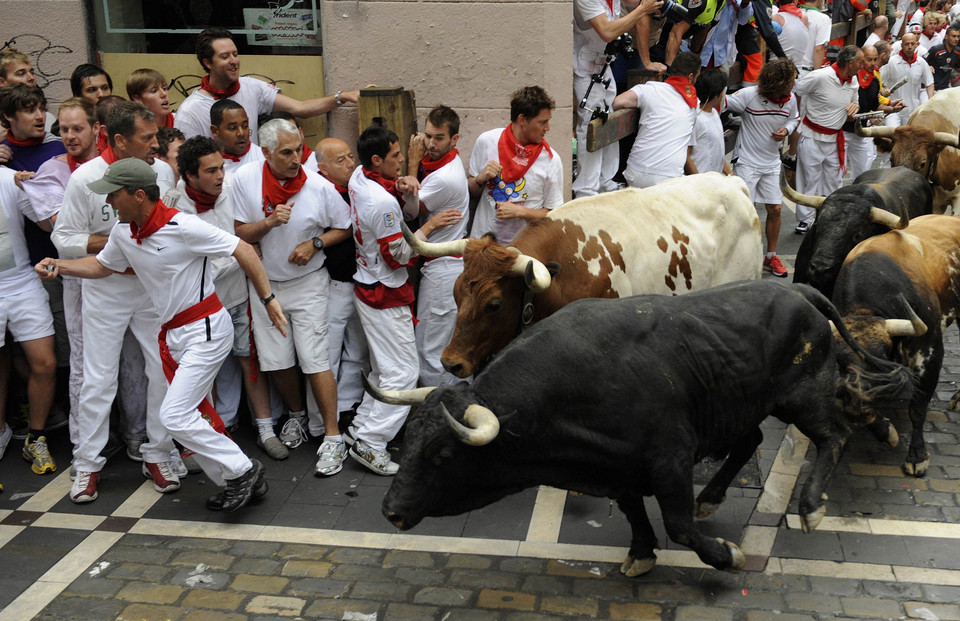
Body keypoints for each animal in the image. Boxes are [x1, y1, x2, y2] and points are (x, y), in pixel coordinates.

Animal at [376, 280, 916, 576]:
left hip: (801, 396)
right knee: (752, 441)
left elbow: (678, 524)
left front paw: (726, 556)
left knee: (833, 435)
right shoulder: (621, 468)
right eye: (409, 442)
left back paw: (811, 506)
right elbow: (636, 511)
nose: (391, 511)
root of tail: (797, 289)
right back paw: (713, 496)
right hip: (738, 403)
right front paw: (641, 553)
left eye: (443, 455)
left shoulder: (669, 460)